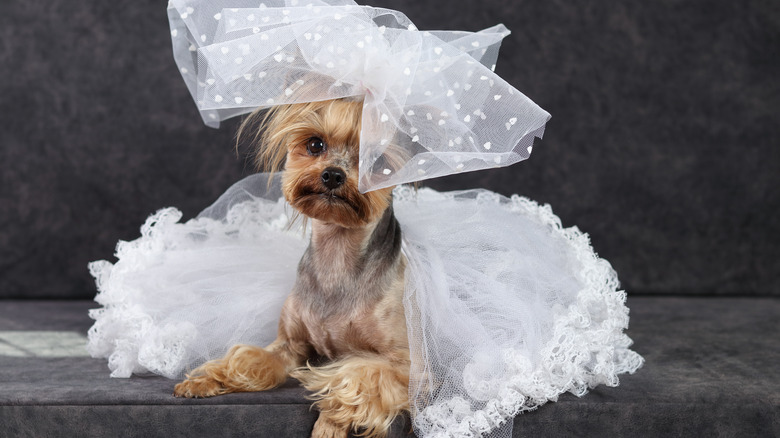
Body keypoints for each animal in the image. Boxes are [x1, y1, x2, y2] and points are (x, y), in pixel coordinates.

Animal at [174, 98, 412, 438]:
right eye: (315, 144)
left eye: (376, 162)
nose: (333, 175)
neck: (337, 254)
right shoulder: (289, 345)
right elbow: (246, 359)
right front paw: (207, 379)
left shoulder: (408, 366)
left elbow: (358, 379)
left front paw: (329, 425)